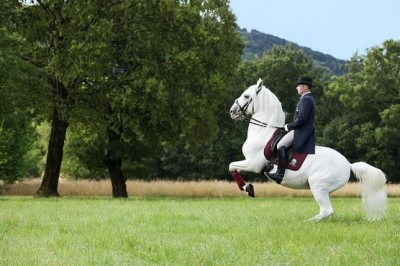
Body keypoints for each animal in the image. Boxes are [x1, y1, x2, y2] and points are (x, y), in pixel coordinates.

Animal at [228, 78, 388, 221]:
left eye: (246, 96)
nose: (232, 111)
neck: (264, 133)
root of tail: (348, 165)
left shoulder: (253, 164)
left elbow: (231, 166)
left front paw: (247, 188)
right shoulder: (251, 163)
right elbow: (232, 167)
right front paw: (248, 188)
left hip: (317, 186)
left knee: (326, 210)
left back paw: (306, 222)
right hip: (324, 190)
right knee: (326, 211)